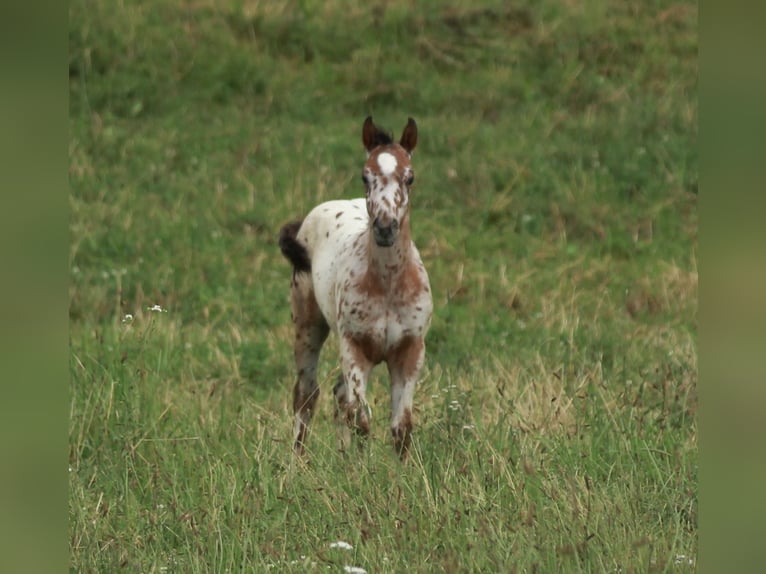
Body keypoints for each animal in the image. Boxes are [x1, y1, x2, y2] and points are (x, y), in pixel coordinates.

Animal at [280, 116, 436, 460]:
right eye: (365, 176)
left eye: (410, 177)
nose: (385, 228)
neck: (388, 286)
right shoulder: (354, 348)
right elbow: (362, 419)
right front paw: (365, 470)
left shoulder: (410, 352)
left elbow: (401, 427)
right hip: (308, 326)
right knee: (307, 395)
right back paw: (298, 464)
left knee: (339, 397)